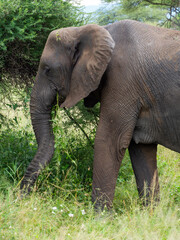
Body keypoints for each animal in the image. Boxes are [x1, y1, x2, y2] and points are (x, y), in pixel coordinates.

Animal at [20, 19, 180, 210]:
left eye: (47, 70)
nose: (21, 197)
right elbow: (141, 148)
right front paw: (151, 214)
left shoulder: (123, 80)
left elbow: (109, 141)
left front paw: (99, 216)